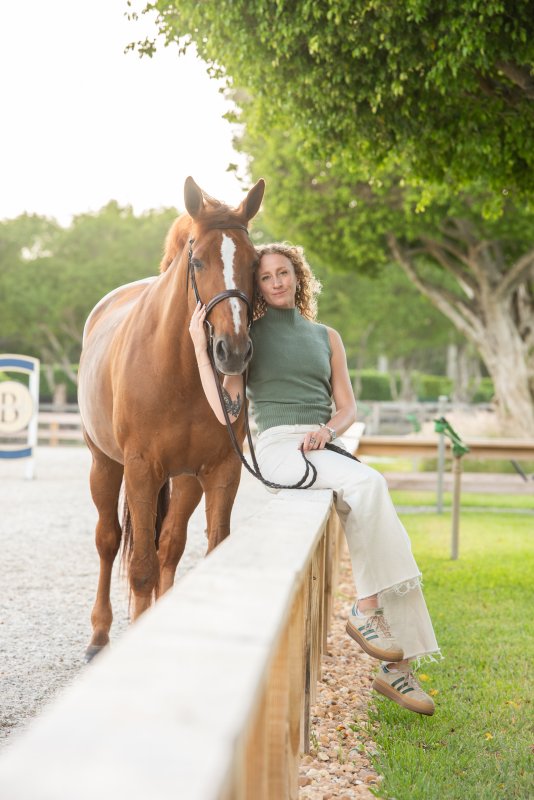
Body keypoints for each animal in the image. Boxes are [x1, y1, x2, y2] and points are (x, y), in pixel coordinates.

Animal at [78, 176, 265, 660]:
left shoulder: (221, 470)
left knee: (170, 547)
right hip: (105, 465)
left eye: (255, 263)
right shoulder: (142, 470)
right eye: (197, 261)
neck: (178, 369)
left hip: (184, 479)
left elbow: (197, 552)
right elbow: (140, 566)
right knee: (108, 541)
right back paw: (98, 635)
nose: (233, 352)